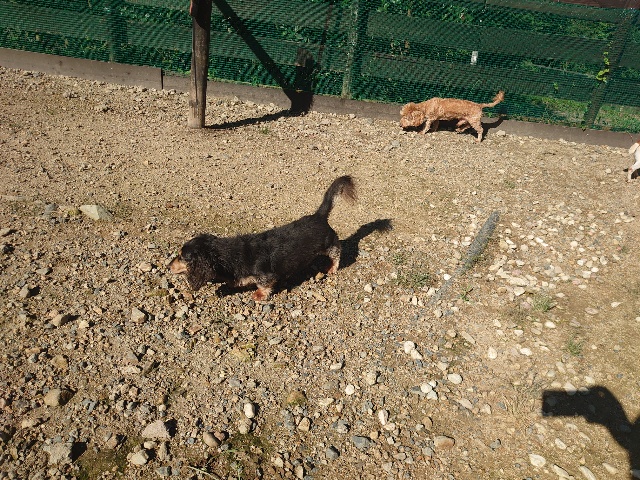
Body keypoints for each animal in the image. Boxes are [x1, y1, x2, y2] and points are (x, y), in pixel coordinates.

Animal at [169, 176, 356, 300]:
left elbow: (264, 285)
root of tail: (319, 216)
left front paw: (258, 295)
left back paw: (331, 267)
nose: (168, 266)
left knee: (337, 252)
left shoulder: (266, 275)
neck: (226, 255)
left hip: (329, 245)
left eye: (182, 257)